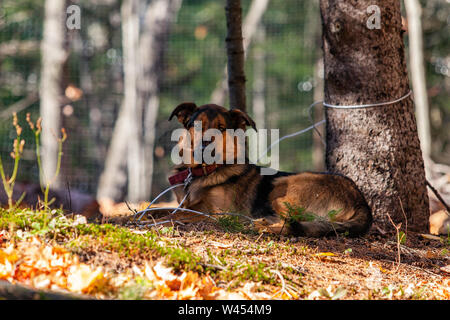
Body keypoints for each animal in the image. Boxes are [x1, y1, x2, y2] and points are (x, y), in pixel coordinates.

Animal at [167, 102, 370, 238]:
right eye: (196, 125)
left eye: (222, 128)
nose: (204, 147)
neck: (203, 172)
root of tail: (362, 202)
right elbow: (174, 210)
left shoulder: (218, 212)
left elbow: (175, 213)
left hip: (281, 186)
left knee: (291, 225)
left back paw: (259, 226)